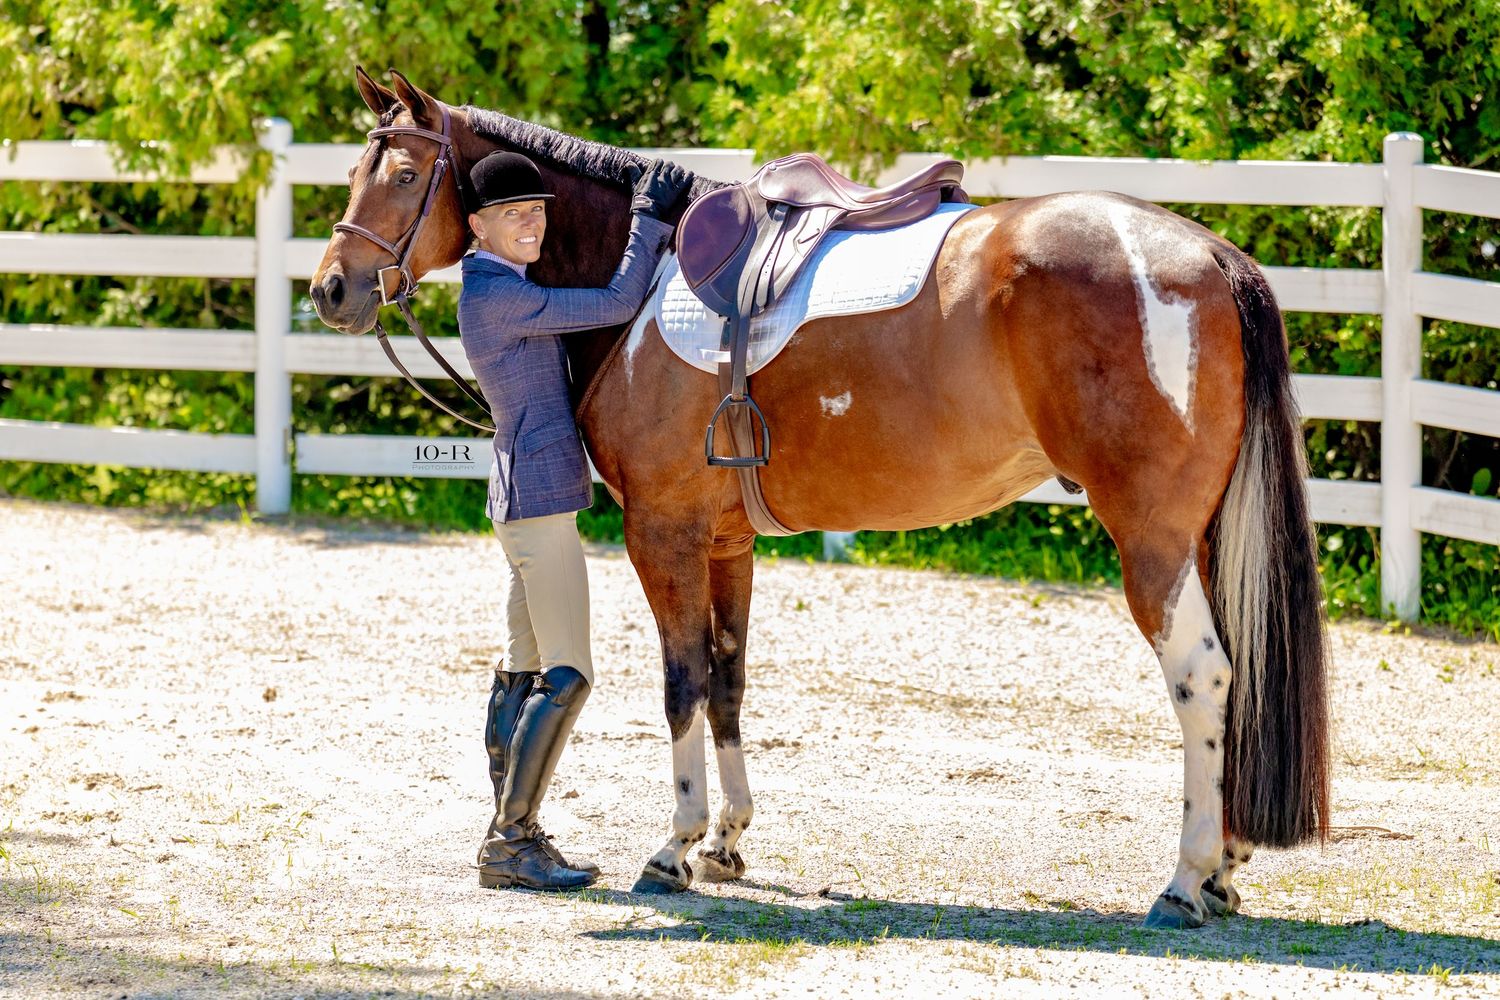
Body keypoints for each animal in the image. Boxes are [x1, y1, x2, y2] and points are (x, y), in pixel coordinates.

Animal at [310, 68, 1330, 930]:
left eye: (404, 172)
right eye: (357, 169)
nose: (333, 289)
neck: (635, 284)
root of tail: (1209, 253)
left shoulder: (663, 533)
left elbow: (680, 684)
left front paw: (673, 849)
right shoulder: (727, 543)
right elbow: (727, 680)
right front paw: (725, 843)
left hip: (1152, 540)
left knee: (1203, 677)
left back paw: (1186, 881)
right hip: (1200, 538)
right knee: (1233, 675)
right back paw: (1224, 869)